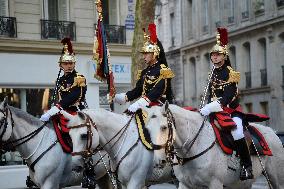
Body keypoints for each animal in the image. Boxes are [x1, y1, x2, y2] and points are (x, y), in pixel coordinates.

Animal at [146, 103, 284, 189]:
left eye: (164, 127)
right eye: (147, 129)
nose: (158, 161)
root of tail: (272, 131)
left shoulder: (215, 183)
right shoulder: (185, 184)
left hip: (277, 180)